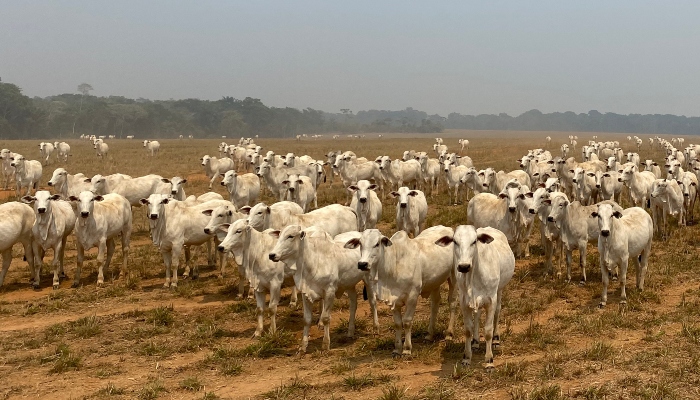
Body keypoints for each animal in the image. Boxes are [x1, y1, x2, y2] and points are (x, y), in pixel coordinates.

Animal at [438, 227, 516, 370]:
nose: (464, 266)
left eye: (474, 241)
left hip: (499, 291)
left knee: (498, 312)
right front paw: (466, 358)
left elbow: (488, 330)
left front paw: (489, 360)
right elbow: (468, 329)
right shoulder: (464, 302)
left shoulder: (491, 300)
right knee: (478, 315)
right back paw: (475, 342)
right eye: (455, 242)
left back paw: (496, 339)